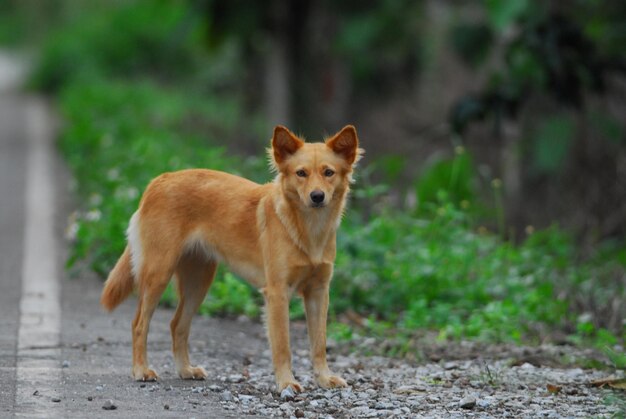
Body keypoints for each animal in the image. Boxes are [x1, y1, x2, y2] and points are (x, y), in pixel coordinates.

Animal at [100, 124, 364, 394]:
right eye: (301, 173)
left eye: (328, 172)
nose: (317, 196)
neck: (308, 229)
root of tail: (159, 180)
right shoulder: (277, 293)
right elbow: (283, 346)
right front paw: (286, 383)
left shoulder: (319, 292)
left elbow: (319, 343)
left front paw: (324, 378)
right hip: (158, 275)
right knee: (139, 324)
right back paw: (141, 370)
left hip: (199, 281)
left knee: (177, 325)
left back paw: (185, 370)